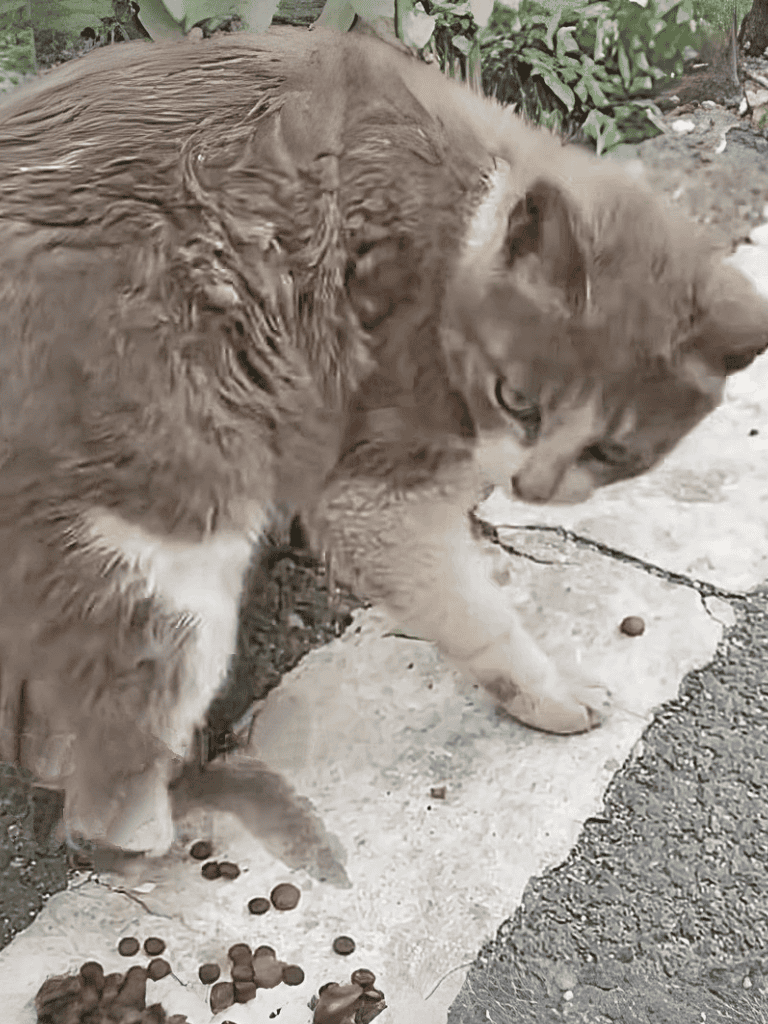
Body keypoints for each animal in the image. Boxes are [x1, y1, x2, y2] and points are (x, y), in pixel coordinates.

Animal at [0, 25, 766, 863]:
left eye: (612, 453)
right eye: (517, 399)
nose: (531, 486)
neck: (466, 219)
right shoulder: (376, 472)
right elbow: (469, 606)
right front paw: (547, 686)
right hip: (172, 532)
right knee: (109, 783)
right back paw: (161, 833)